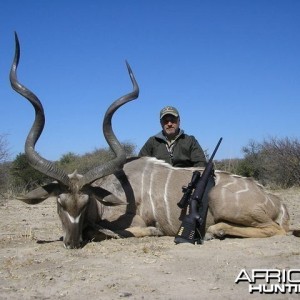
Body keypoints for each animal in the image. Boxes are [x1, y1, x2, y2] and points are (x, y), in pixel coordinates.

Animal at [11, 32, 290, 248]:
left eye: (85, 202)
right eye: (60, 203)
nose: (71, 243)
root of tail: (275, 200)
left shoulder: (131, 221)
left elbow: (104, 230)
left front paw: (150, 231)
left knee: (276, 230)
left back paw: (215, 231)